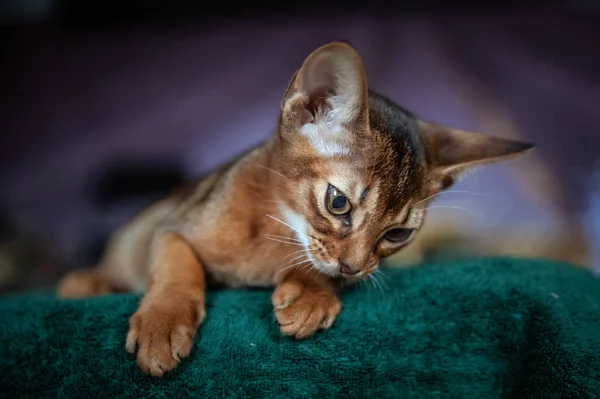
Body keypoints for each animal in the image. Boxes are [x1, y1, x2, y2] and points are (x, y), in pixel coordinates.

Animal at [57, 43, 536, 378]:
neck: (272, 231)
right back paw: (85, 283)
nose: (355, 267)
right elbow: (178, 264)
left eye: (398, 235)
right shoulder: (169, 224)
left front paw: (311, 293)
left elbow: (318, 267)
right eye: (338, 202)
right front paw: (163, 323)